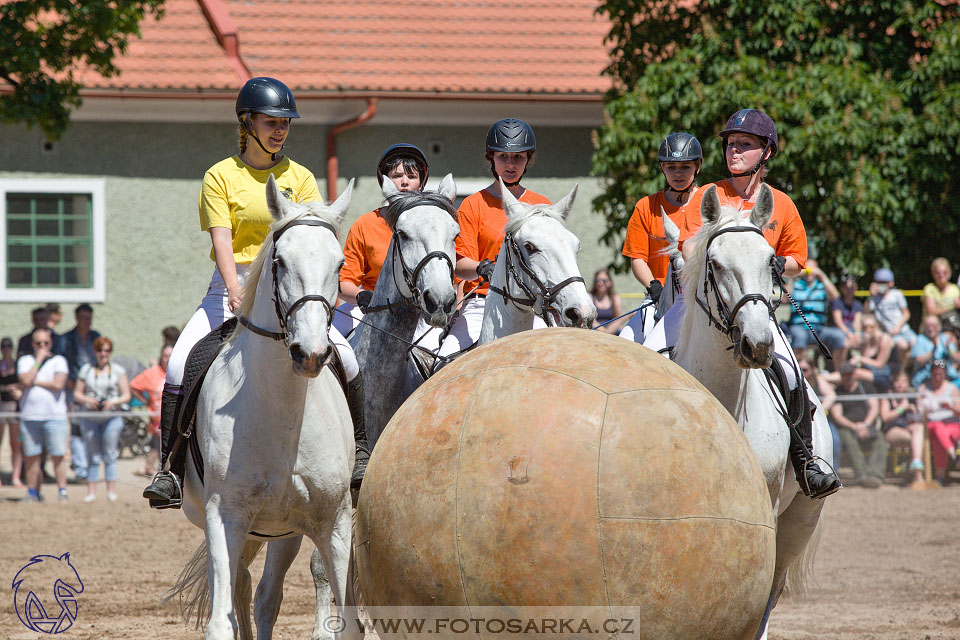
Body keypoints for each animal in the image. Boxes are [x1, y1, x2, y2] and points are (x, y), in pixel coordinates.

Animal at [169, 175, 360, 640]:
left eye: (339, 263)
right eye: (280, 261)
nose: (310, 353)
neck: (284, 417)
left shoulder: (334, 523)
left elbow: (347, 619)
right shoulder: (225, 519)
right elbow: (221, 620)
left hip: (284, 532)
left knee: (264, 597)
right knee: (240, 588)